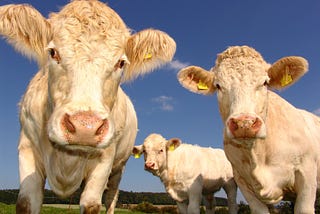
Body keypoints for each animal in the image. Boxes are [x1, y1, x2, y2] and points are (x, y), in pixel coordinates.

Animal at [0, 0, 176, 213]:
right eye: (53, 52)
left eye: (121, 63)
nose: (85, 127)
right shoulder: (27, 148)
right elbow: (26, 202)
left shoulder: (105, 159)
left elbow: (92, 204)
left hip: (118, 168)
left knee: (110, 199)